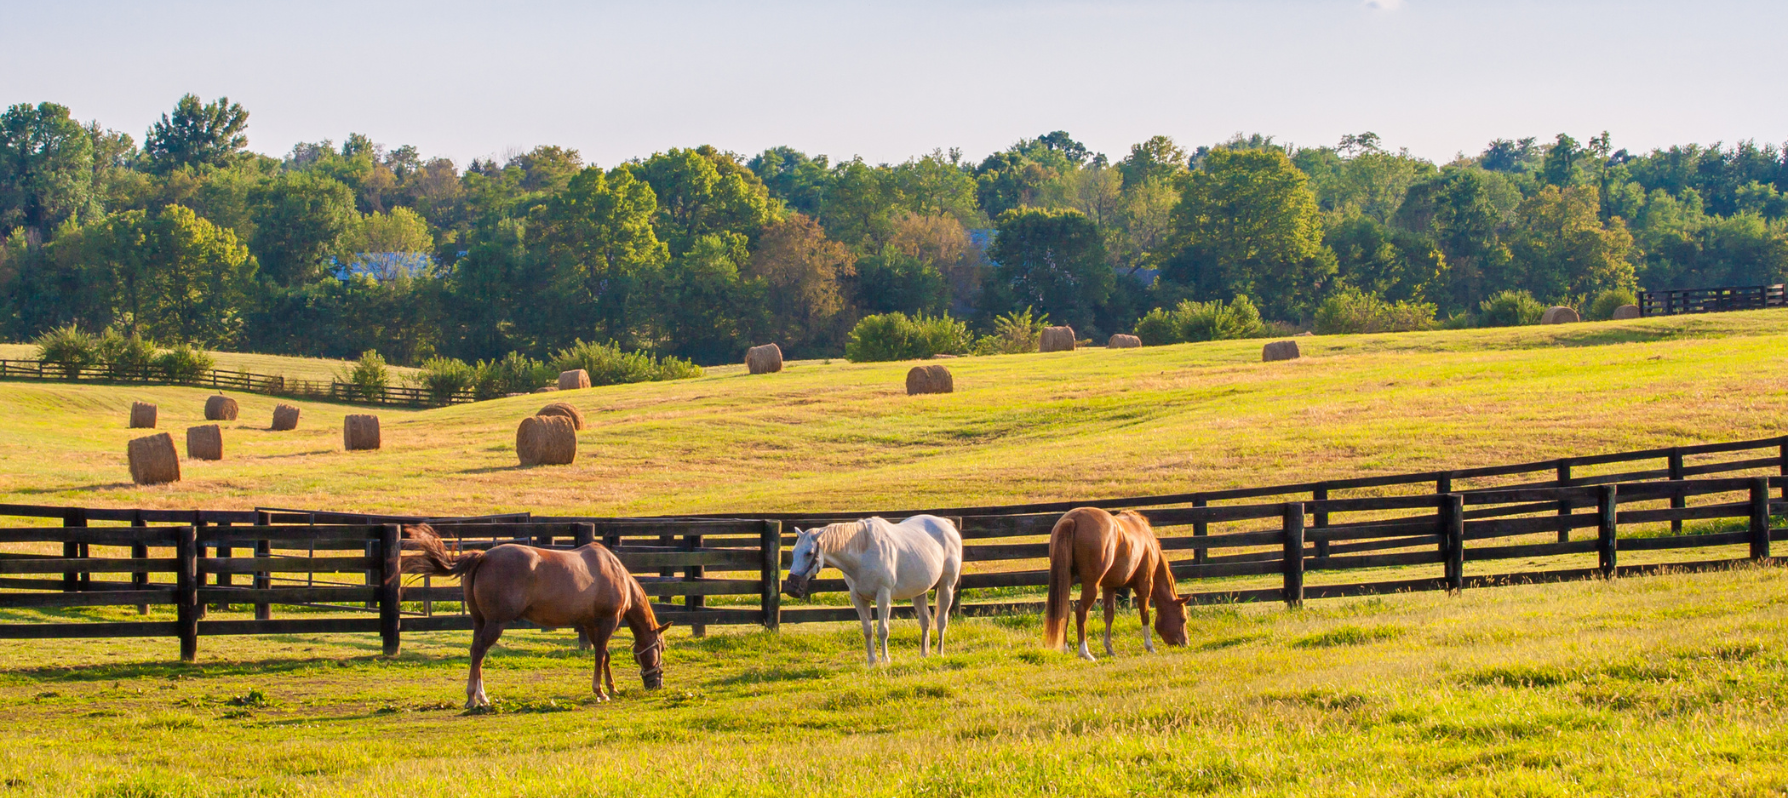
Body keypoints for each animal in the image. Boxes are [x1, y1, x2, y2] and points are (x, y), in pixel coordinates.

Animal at [402, 526, 672, 708]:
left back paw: (482, 696)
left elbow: (604, 656)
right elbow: (600, 656)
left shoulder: (590, 625)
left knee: (475, 653)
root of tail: (484, 556)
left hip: (480, 622)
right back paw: (472, 698)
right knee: (479, 651)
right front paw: (600, 691)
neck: (616, 573)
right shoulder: (606, 623)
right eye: (660, 647)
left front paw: (612, 689)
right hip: (495, 624)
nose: (656, 684)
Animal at [786, 515, 965, 665]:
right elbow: (867, 630)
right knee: (925, 621)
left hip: (947, 586)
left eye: (809, 553)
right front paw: (871, 661)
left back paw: (939, 652)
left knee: (941, 620)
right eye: (793, 552)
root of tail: (946, 524)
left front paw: (885, 660)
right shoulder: (858, 598)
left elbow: (882, 630)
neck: (863, 553)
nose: (792, 587)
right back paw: (923, 654)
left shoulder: (883, 596)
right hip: (919, 592)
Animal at [1037, 508, 1187, 658]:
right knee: (1081, 612)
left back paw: (1065, 649)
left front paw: (1109, 649)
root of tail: (1073, 519)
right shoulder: (1144, 586)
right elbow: (1145, 615)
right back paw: (1085, 652)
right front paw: (1150, 646)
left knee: (1064, 612)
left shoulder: (1109, 586)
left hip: (1067, 580)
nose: (1185, 643)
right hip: (1091, 585)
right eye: (1183, 618)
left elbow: (1109, 616)